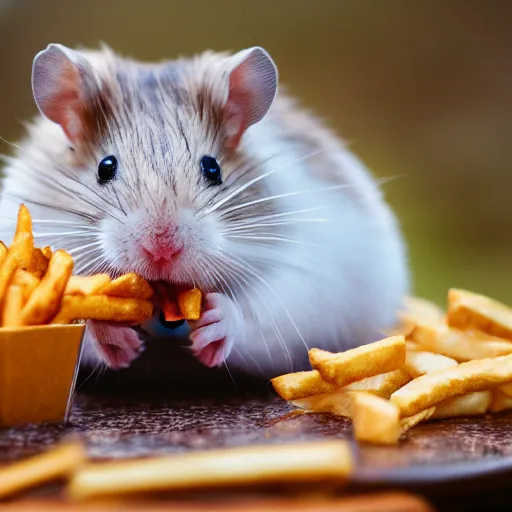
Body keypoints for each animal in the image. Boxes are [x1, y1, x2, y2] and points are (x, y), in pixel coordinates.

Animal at [0, 44, 410, 378]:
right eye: (105, 167)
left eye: (212, 169)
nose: (161, 250)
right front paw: (116, 337)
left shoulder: (304, 274)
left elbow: (258, 312)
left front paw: (216, 323)